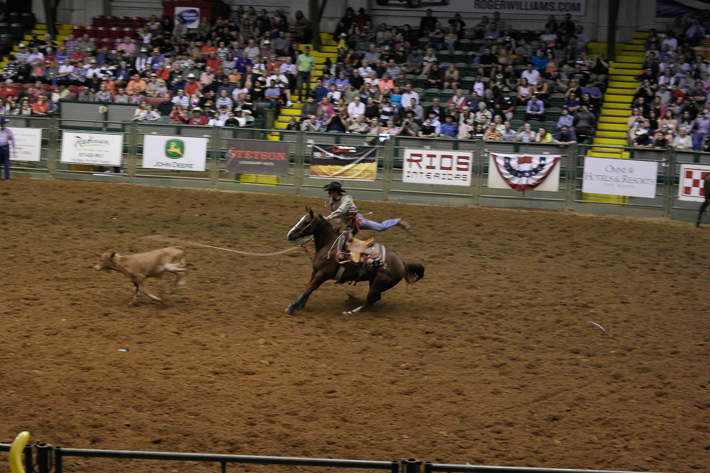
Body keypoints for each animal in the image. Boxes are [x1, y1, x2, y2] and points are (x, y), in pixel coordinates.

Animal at [286, 208, 426, 316]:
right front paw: (299, 305)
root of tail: (401, 261)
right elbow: (308, 289)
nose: (289, 235)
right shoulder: (315, 272)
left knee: (370, 299)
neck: (329, 246)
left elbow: (308, 290)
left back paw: (351, 312)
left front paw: (292, 307)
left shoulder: (322, 275)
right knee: (375, 299)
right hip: (374, 282)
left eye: (306, 221)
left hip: (378, 284)